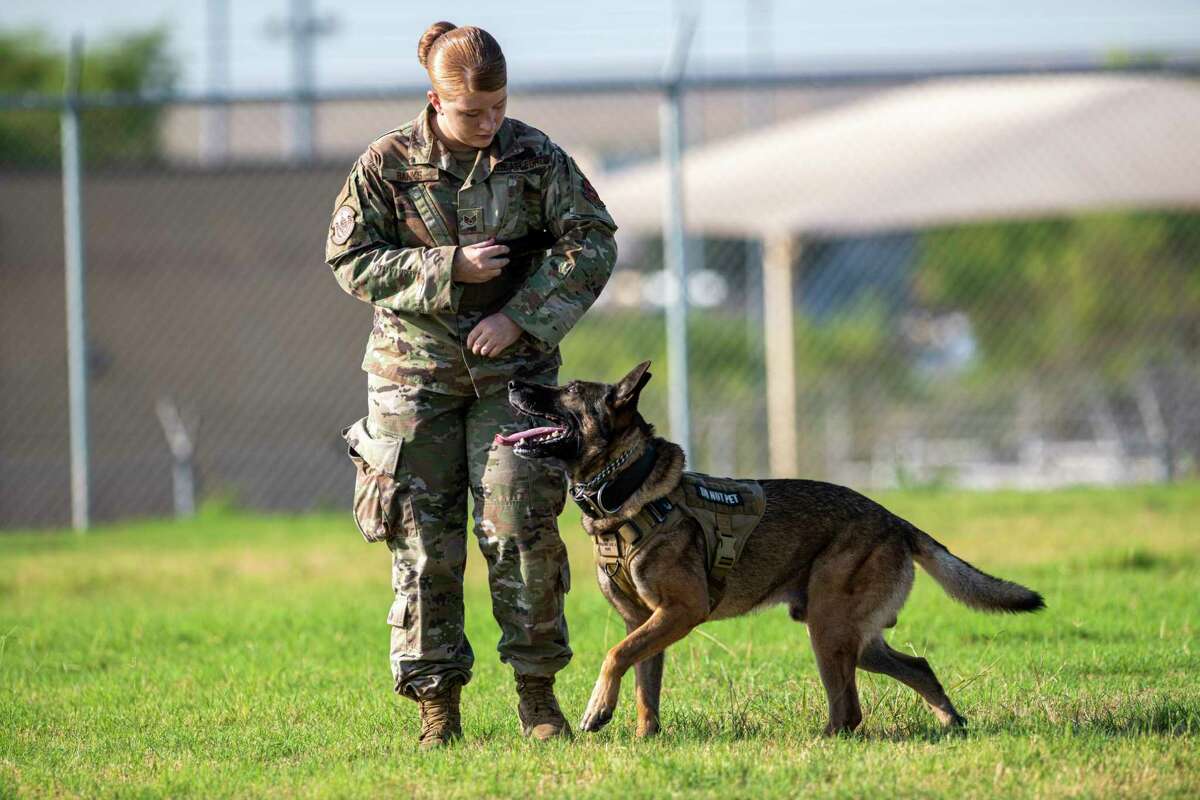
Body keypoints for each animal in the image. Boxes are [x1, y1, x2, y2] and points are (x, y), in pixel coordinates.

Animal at [494, 362, 1041, 738]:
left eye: (568, 390)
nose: (513, 382)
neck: (627, 490)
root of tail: (894, 520)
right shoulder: (645, 621)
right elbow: (644, 684)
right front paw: (645, 738)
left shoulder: (680, 611)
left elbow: (613, 656)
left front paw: (597, 709)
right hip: (853, 637)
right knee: (916, 667)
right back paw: (950, 721)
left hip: (828, 628)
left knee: (849, 711)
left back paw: (825, 741)